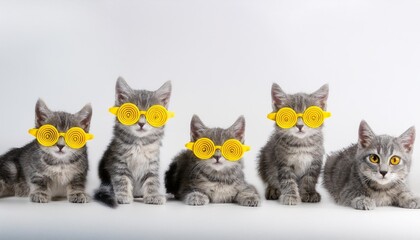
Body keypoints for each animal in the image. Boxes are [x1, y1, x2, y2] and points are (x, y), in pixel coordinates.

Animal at [95, 78, 171, 207]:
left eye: (153, 115)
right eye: (129, 113)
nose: (141, 123)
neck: (139, 143)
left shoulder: (152, 163)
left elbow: (152, 180)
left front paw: (153, 195)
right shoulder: (118, 162)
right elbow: (121, 179)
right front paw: (122, 195)